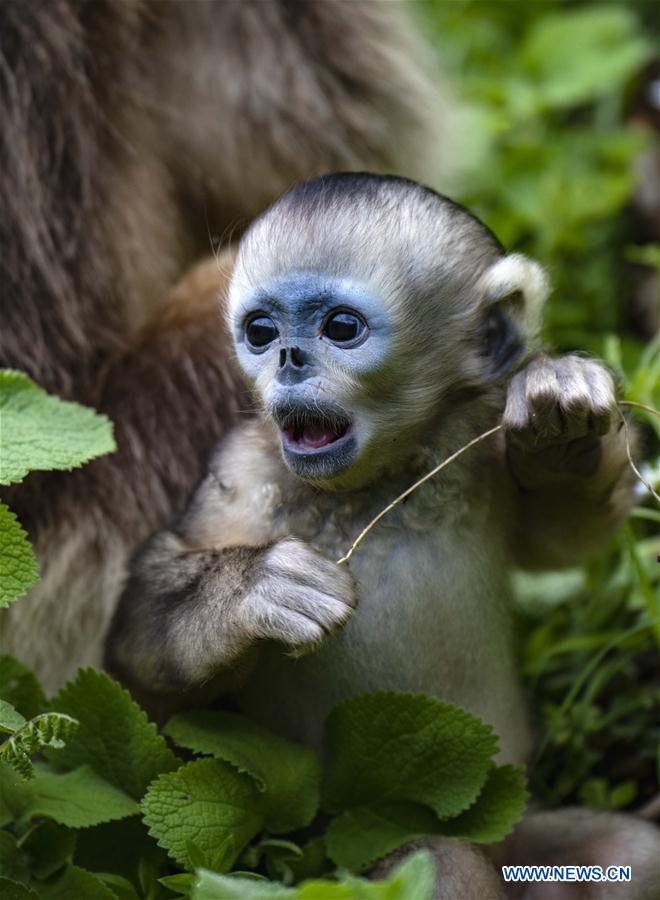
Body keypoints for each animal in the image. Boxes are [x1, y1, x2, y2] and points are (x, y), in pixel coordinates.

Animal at [105, 174, 656, 892]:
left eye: (341, 328)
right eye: (260, 331)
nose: (287, 357)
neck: (381, 485)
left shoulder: (478, 442)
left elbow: (561, 536)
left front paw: (560, 416)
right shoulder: (242, 474)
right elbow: (136, 650)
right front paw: (257, 590)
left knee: (634, 857)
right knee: (442, 861)